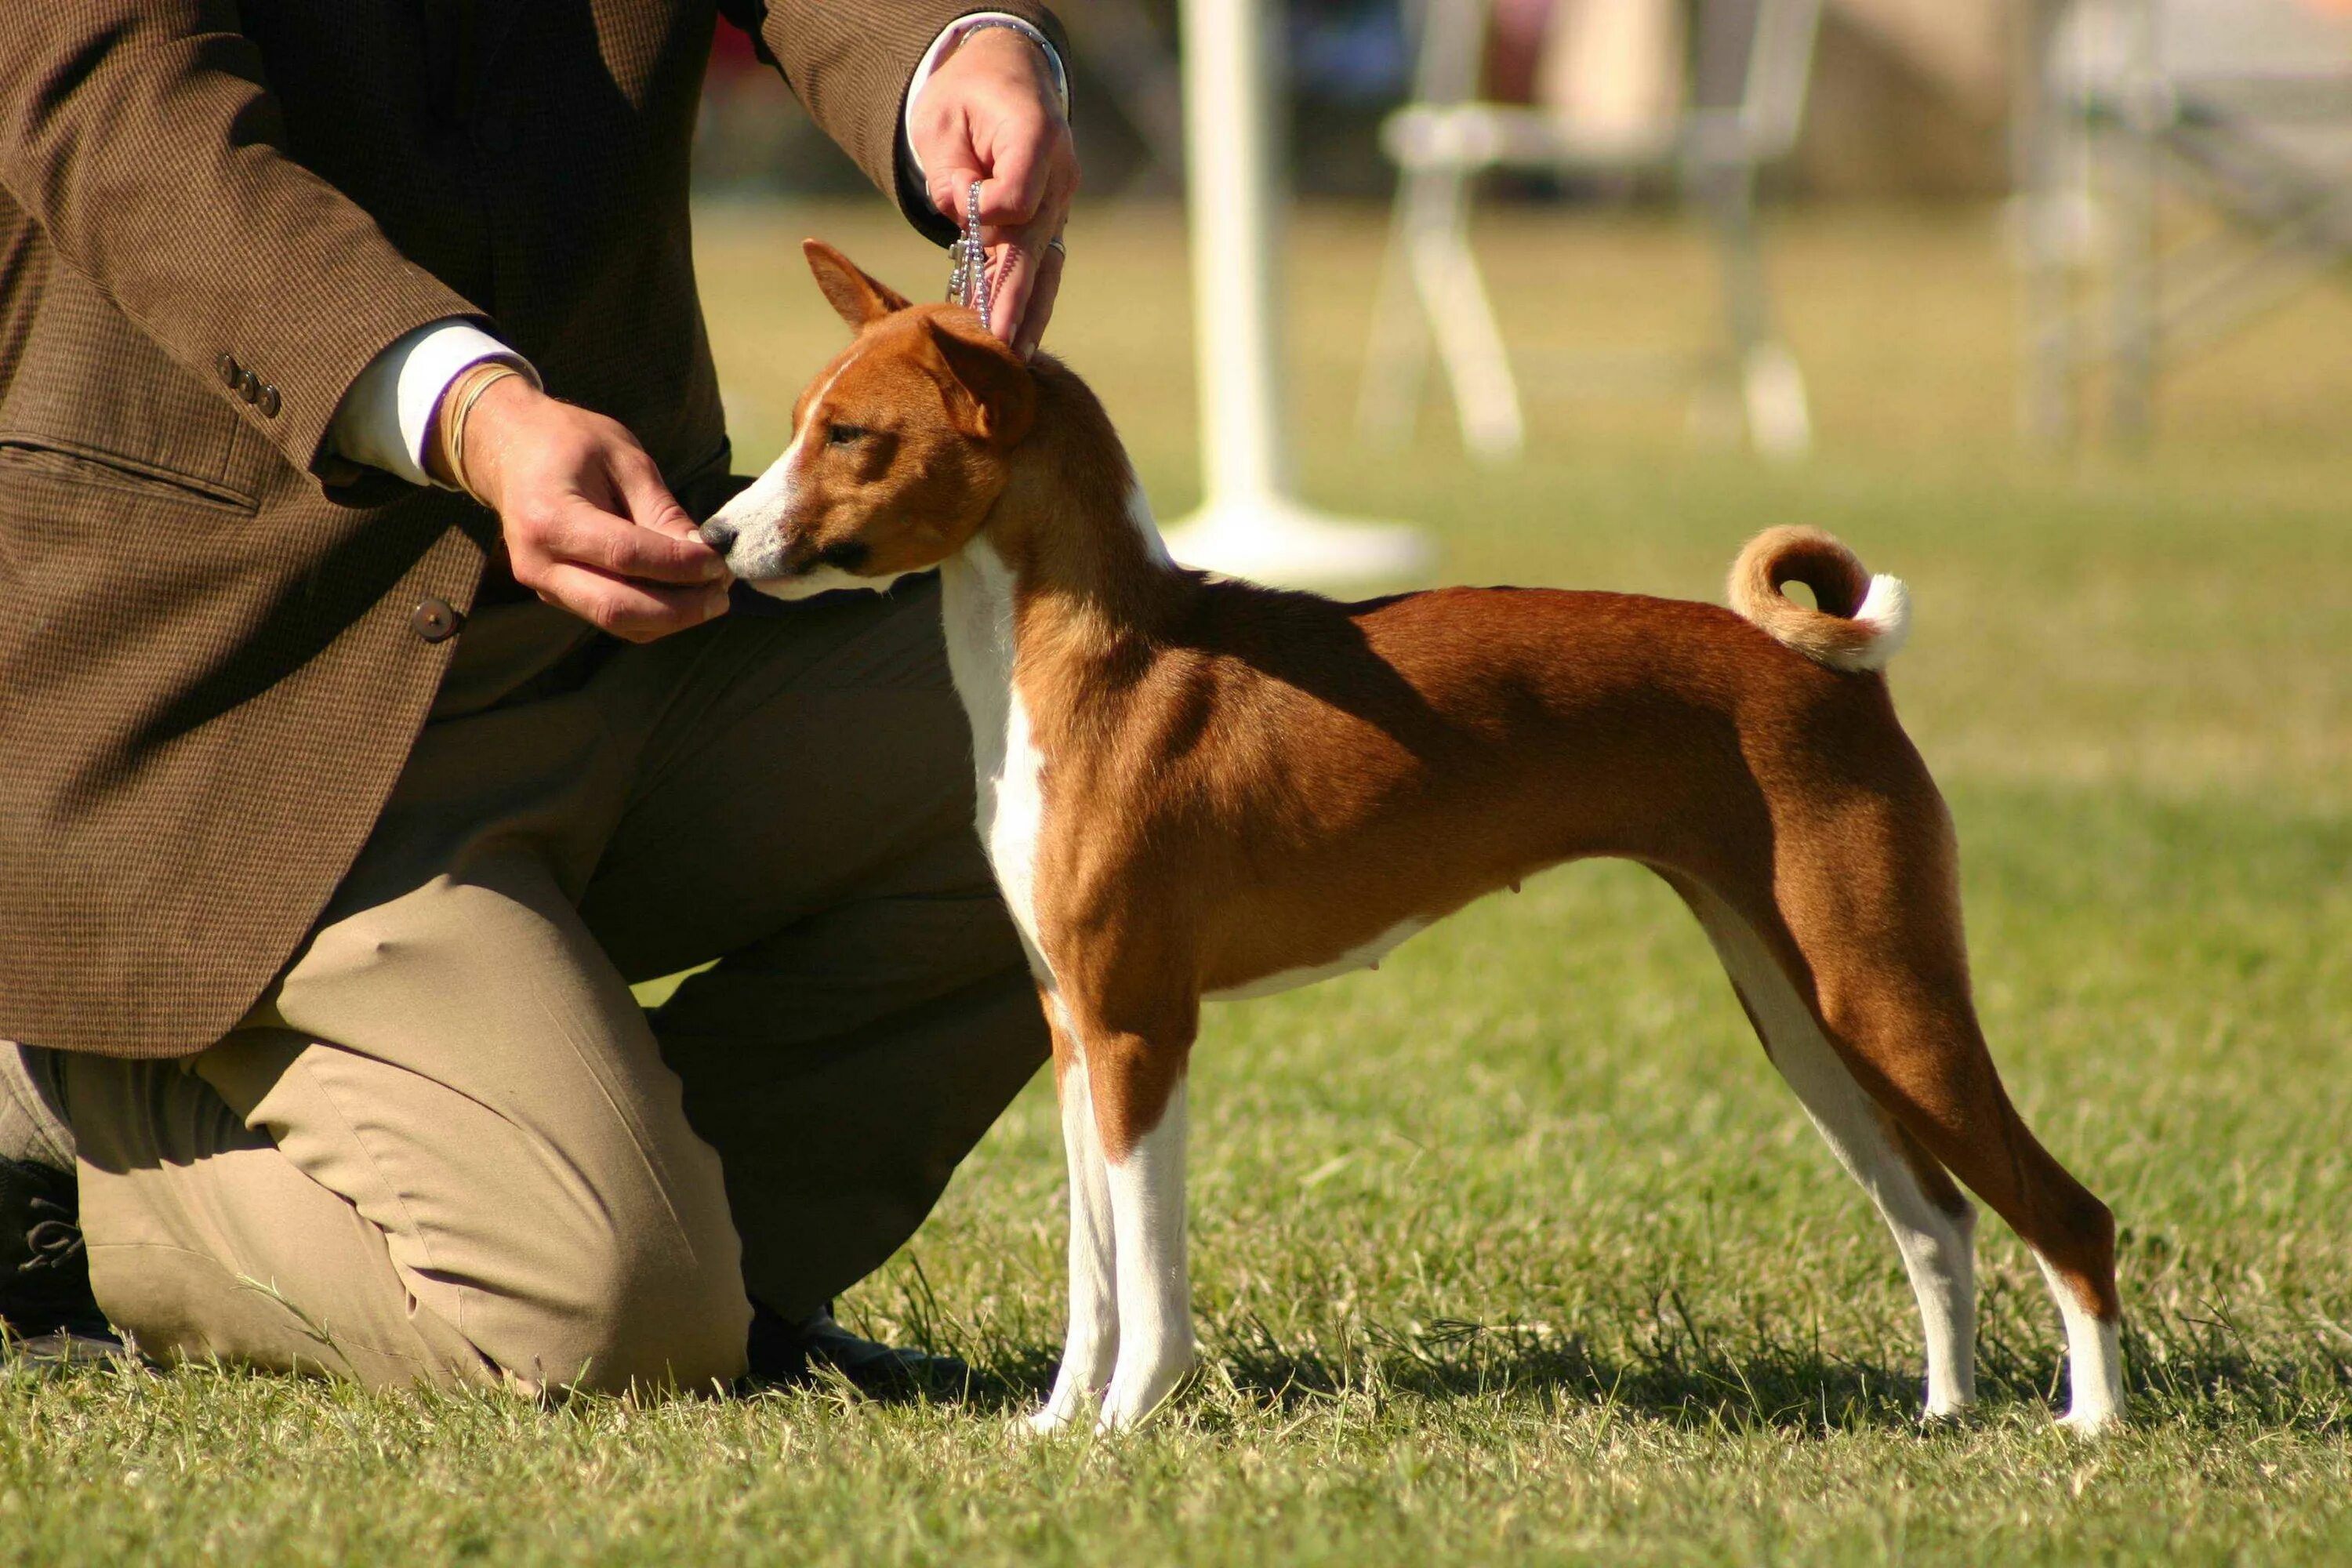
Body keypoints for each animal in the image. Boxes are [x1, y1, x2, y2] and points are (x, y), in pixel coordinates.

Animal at [701, 241, 2136, 1439]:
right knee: (1937, 1219)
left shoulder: (1139, 1027)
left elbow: (1151, 1287)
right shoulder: (1070, 1029)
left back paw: (2091, 1431)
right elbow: (1092, 1278)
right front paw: (1058, 1427)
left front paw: (1123, 1431)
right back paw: (1944, 1416)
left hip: (1883, 992)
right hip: (1804, 1013)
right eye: (803, 421)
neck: (1090, 660)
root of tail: (1823, 667)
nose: (711, 535)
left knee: (2068, 1215)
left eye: (852, 435)